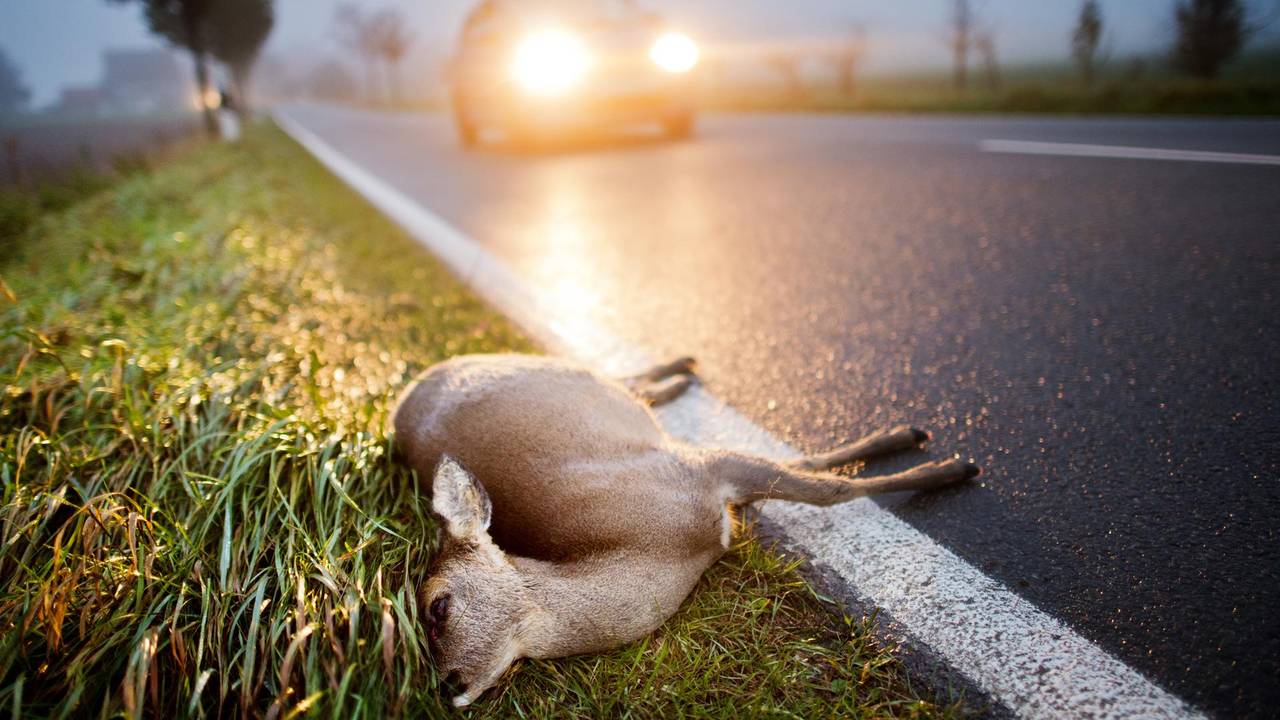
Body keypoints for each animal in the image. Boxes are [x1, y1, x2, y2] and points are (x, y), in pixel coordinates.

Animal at [393, 353, 979, 707]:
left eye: (437, 606)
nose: (445, 686)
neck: (665, 549)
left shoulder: (698, 469)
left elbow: (827, 488)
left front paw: (945, 465)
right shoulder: (708, 477)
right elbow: (811, 471)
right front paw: (927, 453)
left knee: (617, 374)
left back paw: (683, 369)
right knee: (625, 380)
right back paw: (680, 374)